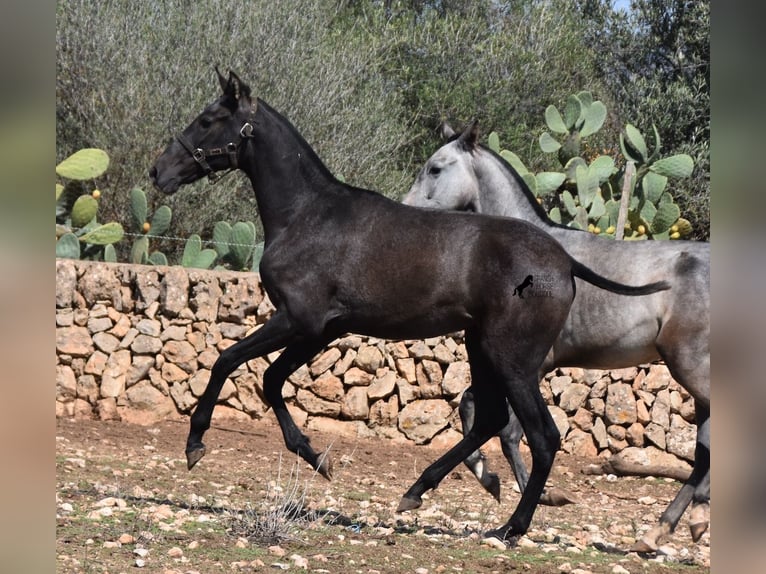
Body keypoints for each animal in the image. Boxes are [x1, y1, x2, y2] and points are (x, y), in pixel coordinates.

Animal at [147, 71, 668, 544]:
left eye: (208, 119)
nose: (158, 172)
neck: (307, 215)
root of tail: (564, 262)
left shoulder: (299, 321)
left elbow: (227, 360)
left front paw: (196, 443)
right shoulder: (322, 330)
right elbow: (271, 380)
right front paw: (317, 458)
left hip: (513, 360)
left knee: (541, 436)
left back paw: (509, 528)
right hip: (482, 348)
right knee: (492, 420)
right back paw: (418, 491)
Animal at [404, 121, 712, 552]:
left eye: (435, 168)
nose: (405, 207)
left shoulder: (530, 365)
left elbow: (505, 427)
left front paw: (526, 496)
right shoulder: (527, 368)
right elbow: (486, 416)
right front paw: (498, 483)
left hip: (692, 368)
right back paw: (666, 528)